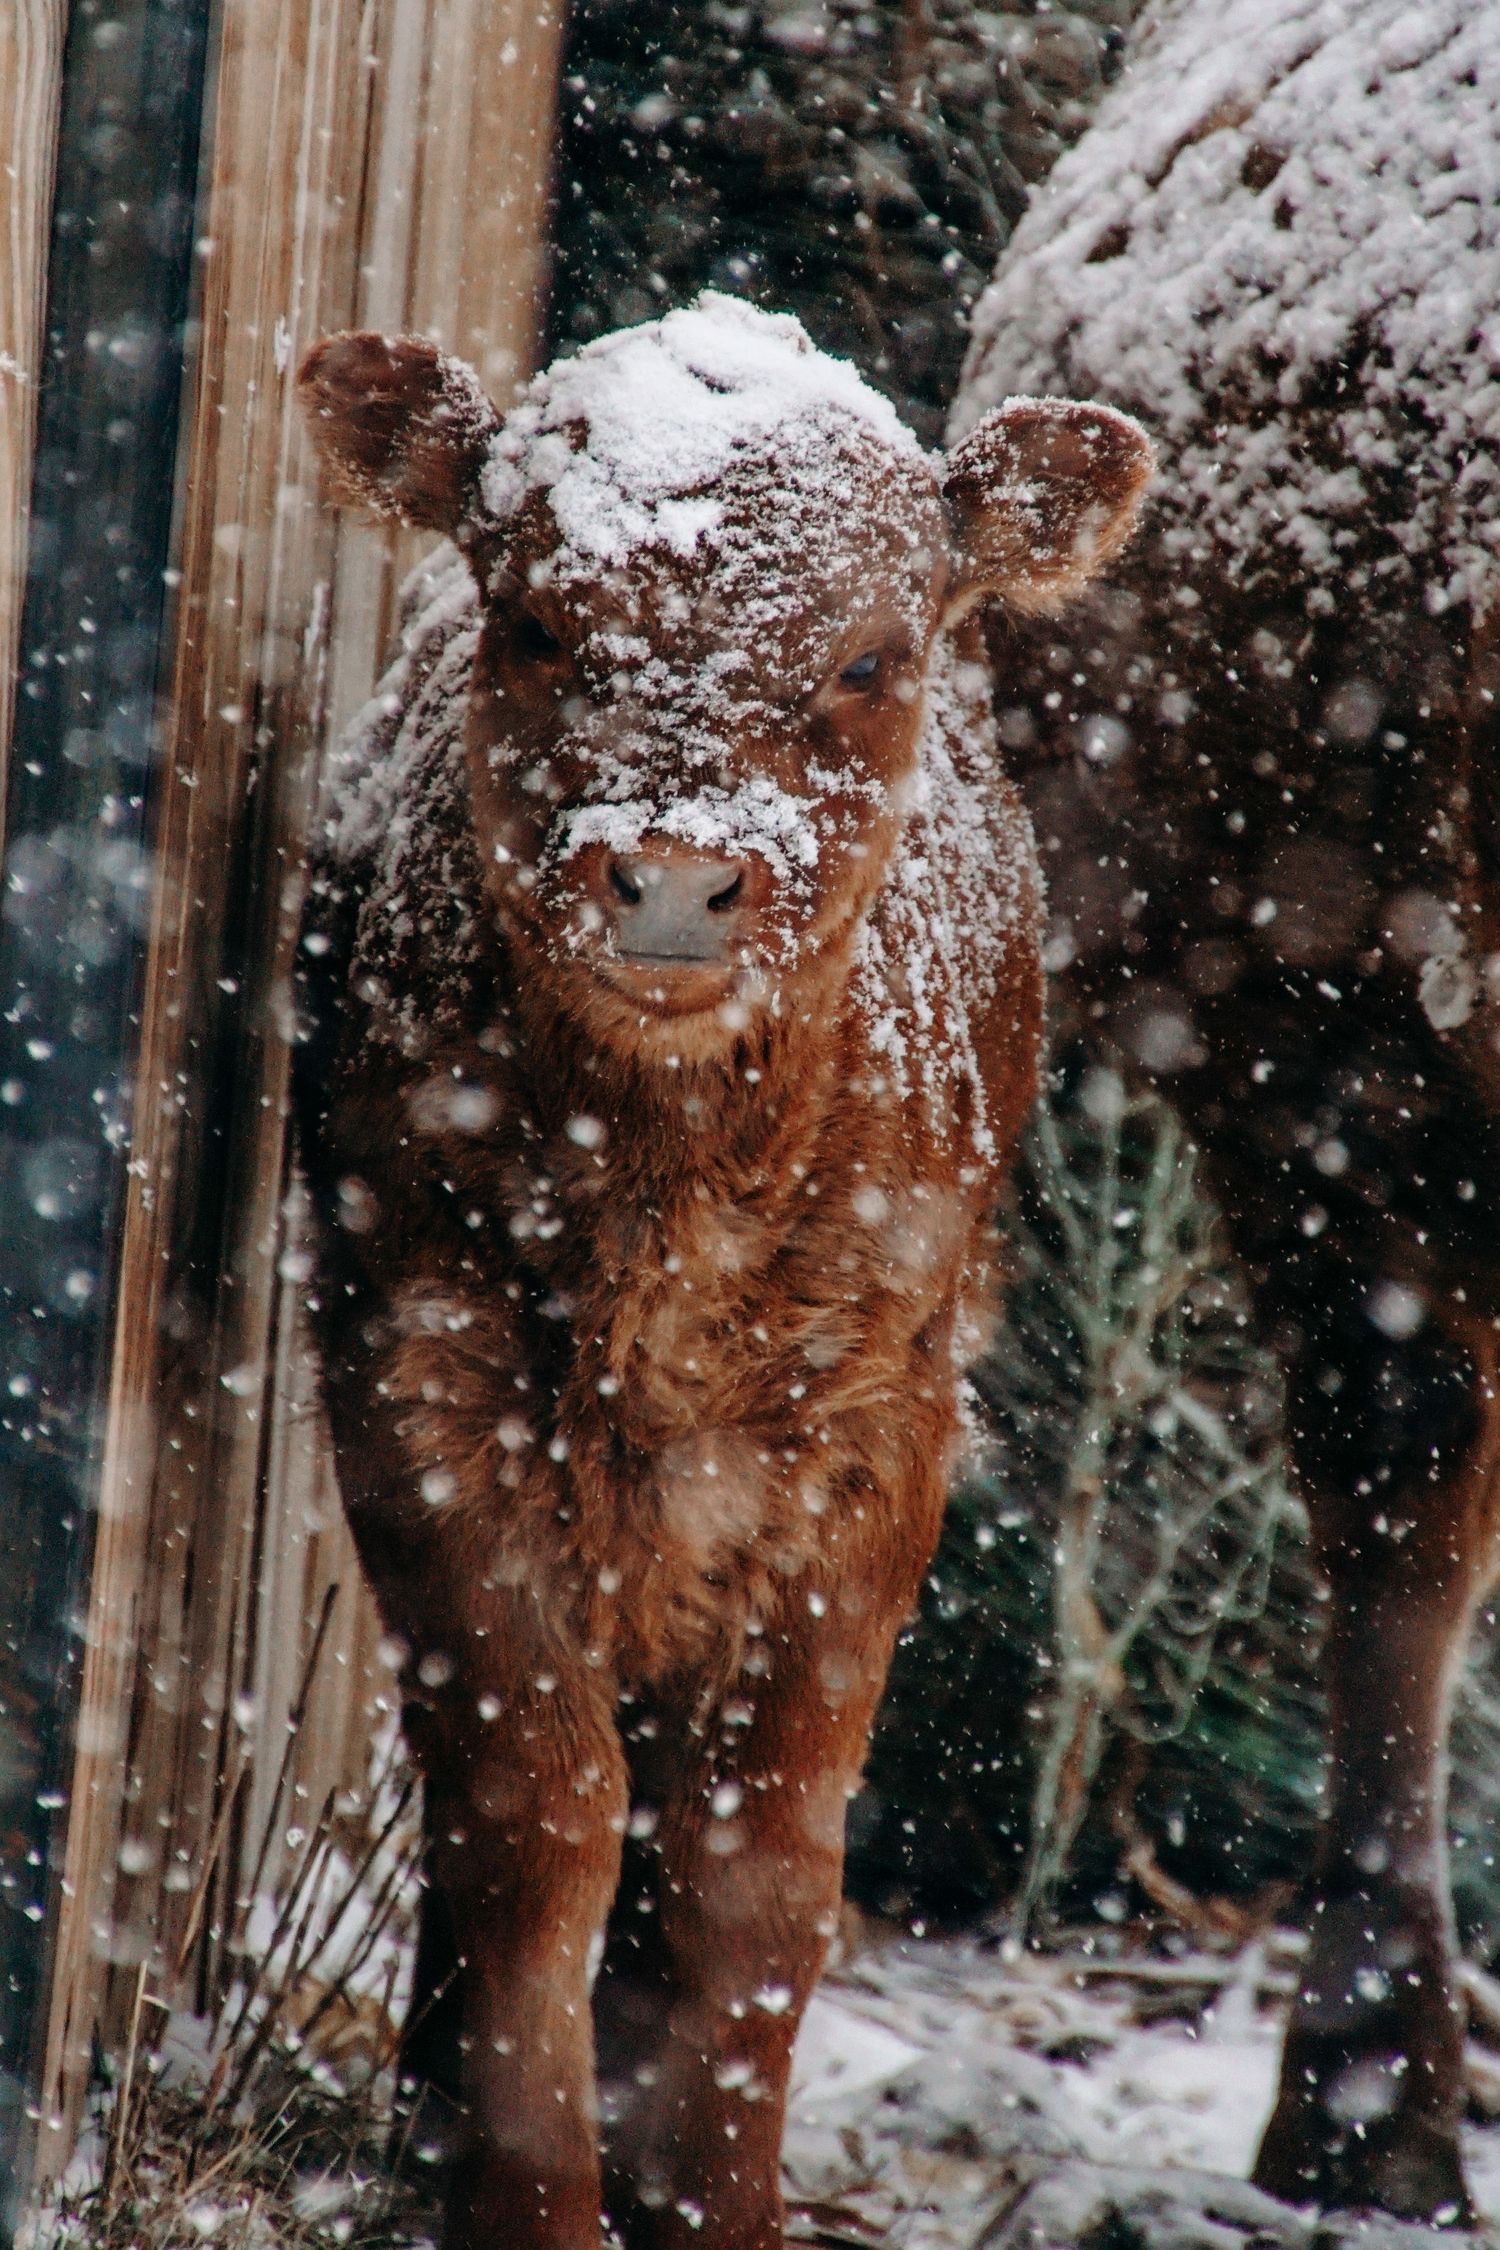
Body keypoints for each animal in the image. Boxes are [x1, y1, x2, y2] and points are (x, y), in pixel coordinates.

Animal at [292, 293, 1152, 2250]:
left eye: (866, 657)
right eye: (539, 622)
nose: (675, 880)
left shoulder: (872, 1445)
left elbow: (757, 1862)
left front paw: (720, 2196)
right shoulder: (419, 1383)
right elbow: (534, 1813)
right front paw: (529, 2195)